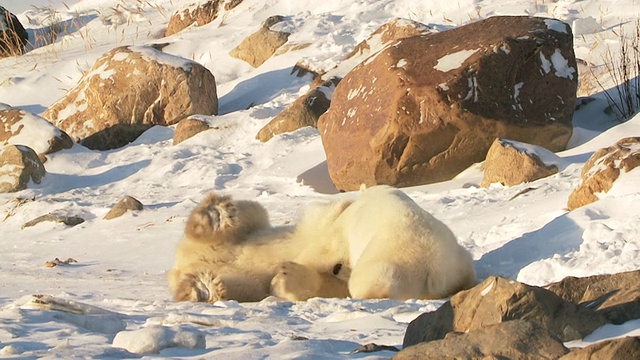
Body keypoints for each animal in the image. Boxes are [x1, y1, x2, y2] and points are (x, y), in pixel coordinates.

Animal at [168, 193, 348, 302]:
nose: (337, 267)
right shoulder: (315, 227)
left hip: (246, 282)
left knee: (237, 286)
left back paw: (205, 288)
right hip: (250, 229)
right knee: (251, 211)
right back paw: (216, 215)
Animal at [270, 186, 476, 300]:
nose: (338, 269)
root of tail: (434, 269)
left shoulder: (344, 227)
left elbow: (325, 249)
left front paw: (281, 277)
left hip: (389, 260)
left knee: (369, 281)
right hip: (459, 266)